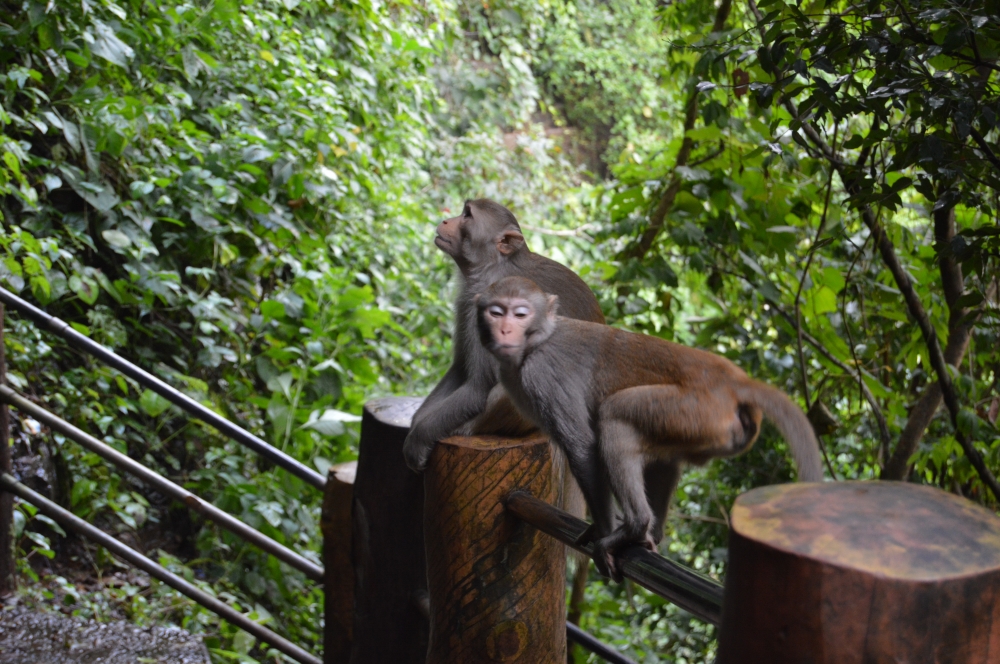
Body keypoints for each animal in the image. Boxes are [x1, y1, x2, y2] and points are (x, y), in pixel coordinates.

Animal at [402, 199, 605, 473]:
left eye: (467, 215)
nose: (445, 220)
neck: (494, 267)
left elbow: (477, 388)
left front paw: (418, 439)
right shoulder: (467, 303)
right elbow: (460, 368)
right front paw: (416, 421)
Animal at [476, 276, 823, 581]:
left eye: (520, 314)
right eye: (496, 312)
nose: (505, 329)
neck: (538, 341)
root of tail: (735, 381)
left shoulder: (542, 375)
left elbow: (581, 446)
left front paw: (603, 529)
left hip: (694, 409)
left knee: (615, 417)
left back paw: (633, 528)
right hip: (698, 425)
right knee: (664, 455)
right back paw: (649, 531)